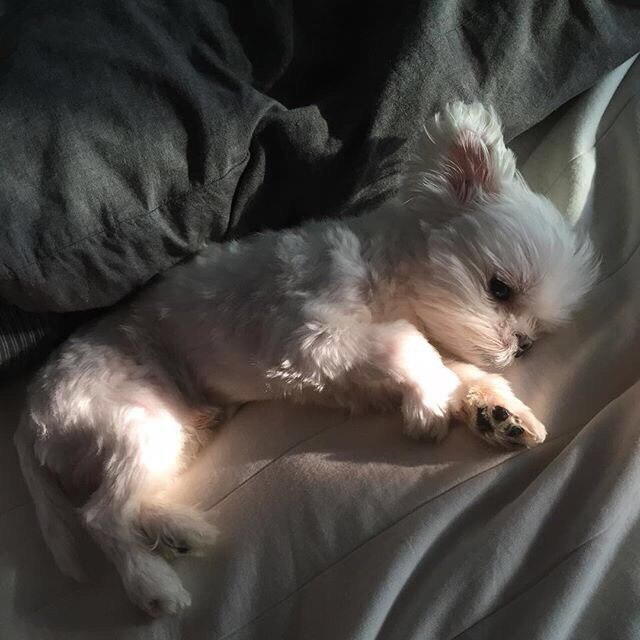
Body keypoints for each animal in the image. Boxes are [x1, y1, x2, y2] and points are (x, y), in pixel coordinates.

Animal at [14, 102, 598, 616]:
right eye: (499, 288)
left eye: (538, 335)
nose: (520, 346)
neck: (382, 272)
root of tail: (30, 409)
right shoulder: (309, 334)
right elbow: (407, 343)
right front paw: (430, 405)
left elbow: (448, 367)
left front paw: (494, 413)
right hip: (136, 419)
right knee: (99, 516)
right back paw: (151, 583)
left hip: (173, 431)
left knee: (128, 501)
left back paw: (177, 532)